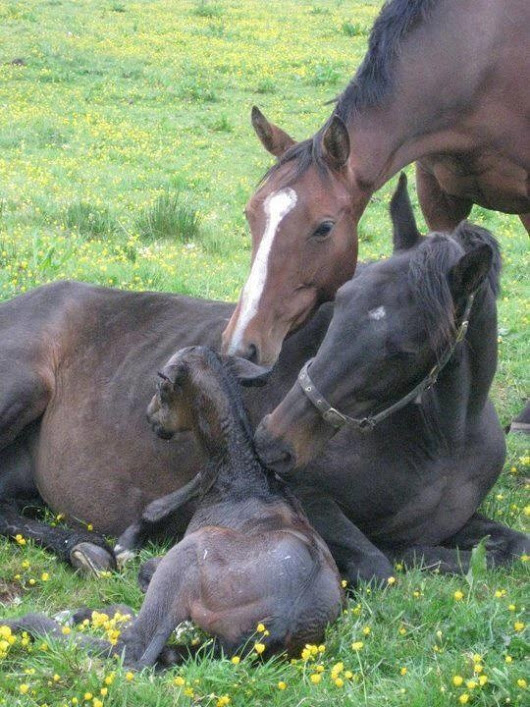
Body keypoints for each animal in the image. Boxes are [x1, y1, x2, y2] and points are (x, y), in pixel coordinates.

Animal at [0, 180, 524, 584]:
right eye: (344, 299)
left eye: (407, 347)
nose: (273, 440)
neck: (444, 442)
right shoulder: (305, 500)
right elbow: (382, 561)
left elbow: (513, 549)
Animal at [3, 348, 342, 668]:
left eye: (161, 387)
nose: (149, 416)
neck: (245, 478)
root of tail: (277, 624)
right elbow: (178, 492)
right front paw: (128, 544)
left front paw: (125, 551)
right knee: (166, 650)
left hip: (188, 557)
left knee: (134, 645)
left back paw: (38, 621)